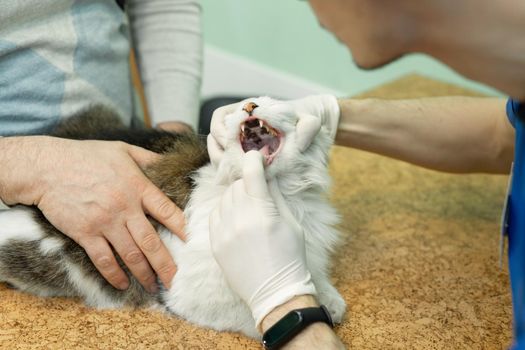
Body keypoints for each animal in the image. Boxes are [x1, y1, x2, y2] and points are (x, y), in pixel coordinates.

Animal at [0, 97, 346, 338]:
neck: (283, 197)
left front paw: (328, 296)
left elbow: (312, 278)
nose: (249, 104)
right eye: (241, 107)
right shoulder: (191, 294)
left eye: (271, 102)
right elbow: (257, 312)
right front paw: (321, 306)